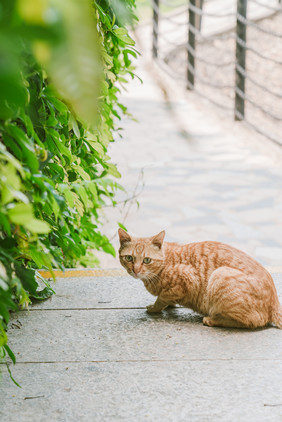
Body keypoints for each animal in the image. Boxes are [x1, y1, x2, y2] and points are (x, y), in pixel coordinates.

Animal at [118, 229, 280, 328]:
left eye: (147, 260)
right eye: (129, 258)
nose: (136, 270)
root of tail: (275, 303)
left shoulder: (185, 280)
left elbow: (162, 298)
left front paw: (155, 308)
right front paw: (171, 306)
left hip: (220, 275)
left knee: (251, 322)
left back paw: (212, 320)